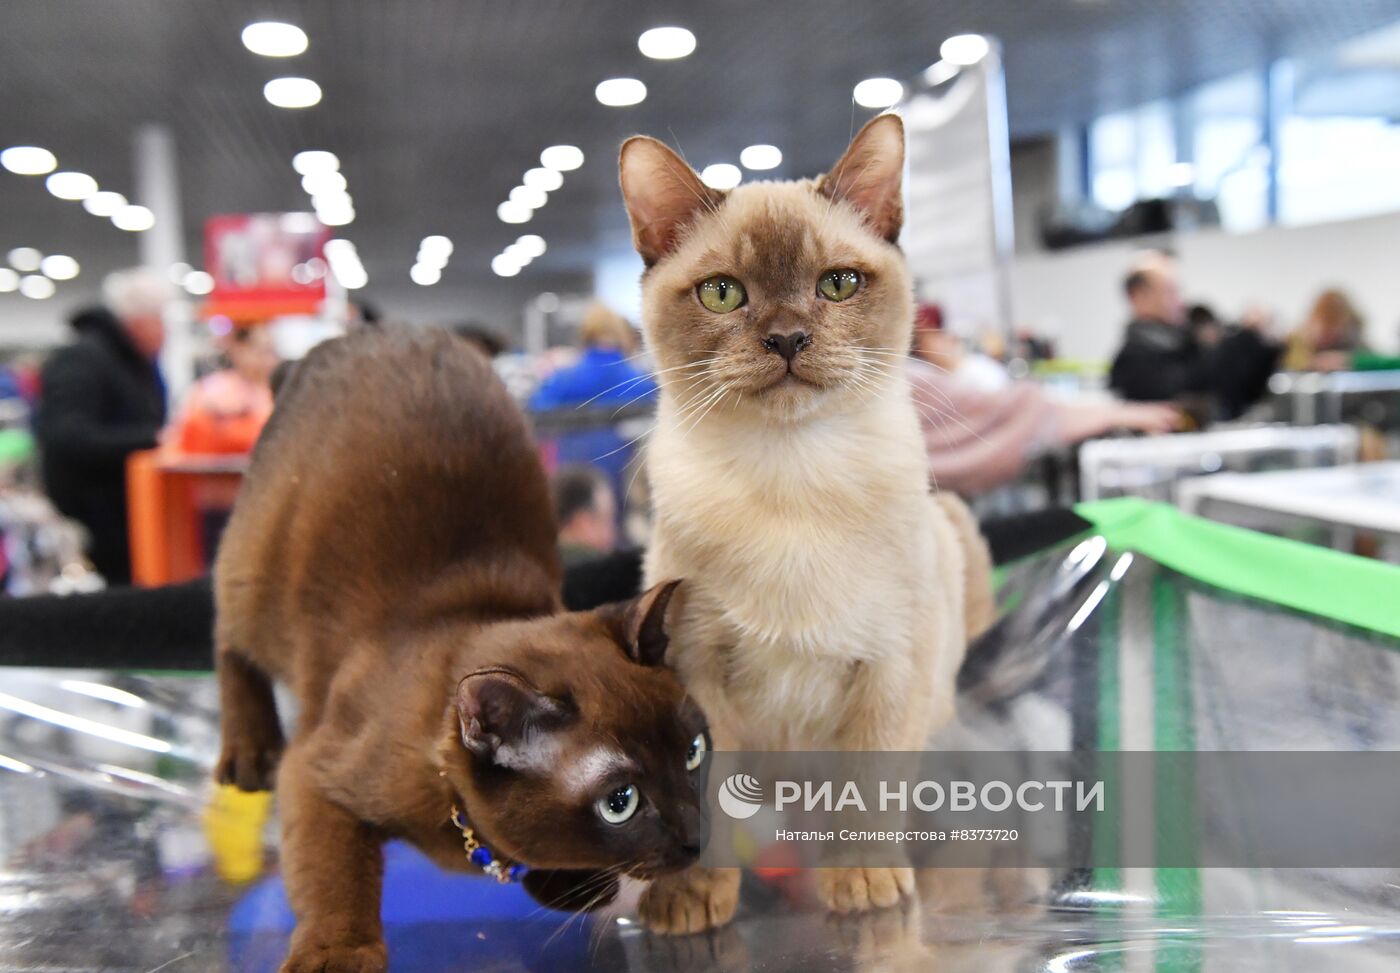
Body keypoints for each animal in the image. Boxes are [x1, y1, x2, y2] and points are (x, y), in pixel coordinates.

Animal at [215, 329, 711, 973]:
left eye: (694, 753)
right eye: (620, 802)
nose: (697, 841)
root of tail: (358, 337)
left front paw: (570, 885)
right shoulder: (314, 777)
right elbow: (336, 878)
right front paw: (338, 954)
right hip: (254, 578)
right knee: (230, 642)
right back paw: (248, 754)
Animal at [624, 116, 996, 935]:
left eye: (838, 284)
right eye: (723, 293)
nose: (788, 338)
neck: (791, 480)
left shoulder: (890, 666)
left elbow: (867, 788)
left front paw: (861, 886)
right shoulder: (697, 673)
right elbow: (707, 805)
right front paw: (695, 900)